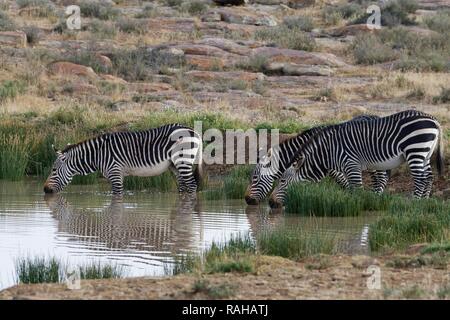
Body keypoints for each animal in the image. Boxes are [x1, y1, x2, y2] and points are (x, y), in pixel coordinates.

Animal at [43, 124, 202, 196]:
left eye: (54, 170)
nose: (45, 190)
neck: (98, 155)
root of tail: (194, 131)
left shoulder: (115, 173)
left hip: (183, 161)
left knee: (192, 185)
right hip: (174, 165)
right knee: (183, 187)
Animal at [244, 115, 388, 205]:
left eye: (255, 178)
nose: (247, 200)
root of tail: (375, 116)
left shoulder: (330, 166)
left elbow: (342, 181)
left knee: (382, 179)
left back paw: (377, 197)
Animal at [268, 109, 444, 208]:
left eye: (282, 181)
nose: (270, 203)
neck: (326, 153)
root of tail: (434, 120)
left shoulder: (351, 165)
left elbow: (357, 190)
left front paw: (359, 208)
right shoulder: (347, 168)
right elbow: (351, 189)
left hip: (415, 149)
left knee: (420, 179)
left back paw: (415, 202)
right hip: (425, 153)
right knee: (428, 176)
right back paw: (424, 202)